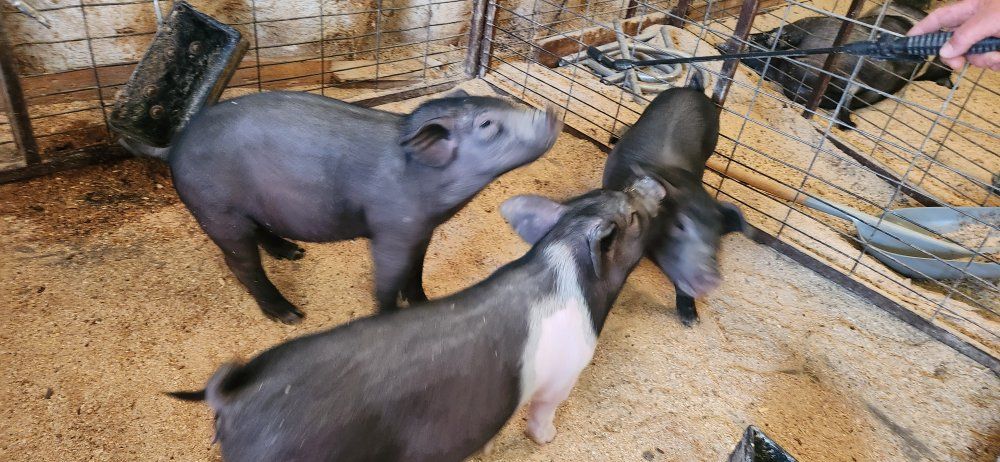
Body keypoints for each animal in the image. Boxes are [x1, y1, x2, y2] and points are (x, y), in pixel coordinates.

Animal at [166, 89, 561, 323]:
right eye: (488, 124)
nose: (550, 112)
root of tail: (175, 146)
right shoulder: (391, 228)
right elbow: (387, 279)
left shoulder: (421, 230)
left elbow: (415, 271)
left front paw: (424, 303)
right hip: (217, 211)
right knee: (240, 263)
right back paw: (291, 315)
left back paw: (293, 253)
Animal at [167, 177, 667, 462]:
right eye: (633, 214)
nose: (649, 180)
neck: (565, 257)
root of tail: (232, 399)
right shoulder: (563, 375)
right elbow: (543, 412)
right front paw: (547, 440)